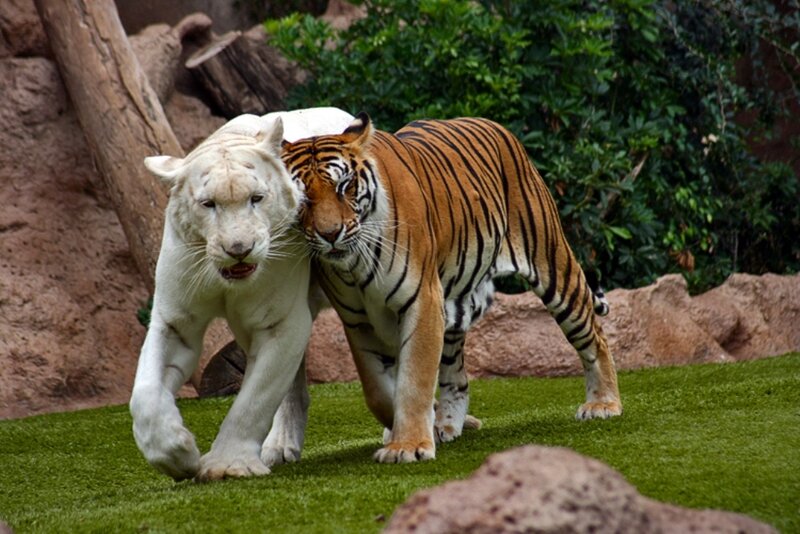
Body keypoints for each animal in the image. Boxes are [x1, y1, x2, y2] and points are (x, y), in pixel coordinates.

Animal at [281, 113, 622, 463]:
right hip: (454, 304)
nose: (330, 234)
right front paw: (417, 431)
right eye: (302, 198)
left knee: (593, 336)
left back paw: (604, 405)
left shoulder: (421, 301)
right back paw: (448, 425)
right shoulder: (358, 320)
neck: (354, 264)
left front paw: (407, 446)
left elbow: (414, 379)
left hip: (552, 263)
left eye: (344, 186)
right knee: (456, 375)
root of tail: (493, 124)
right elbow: (378, 390)